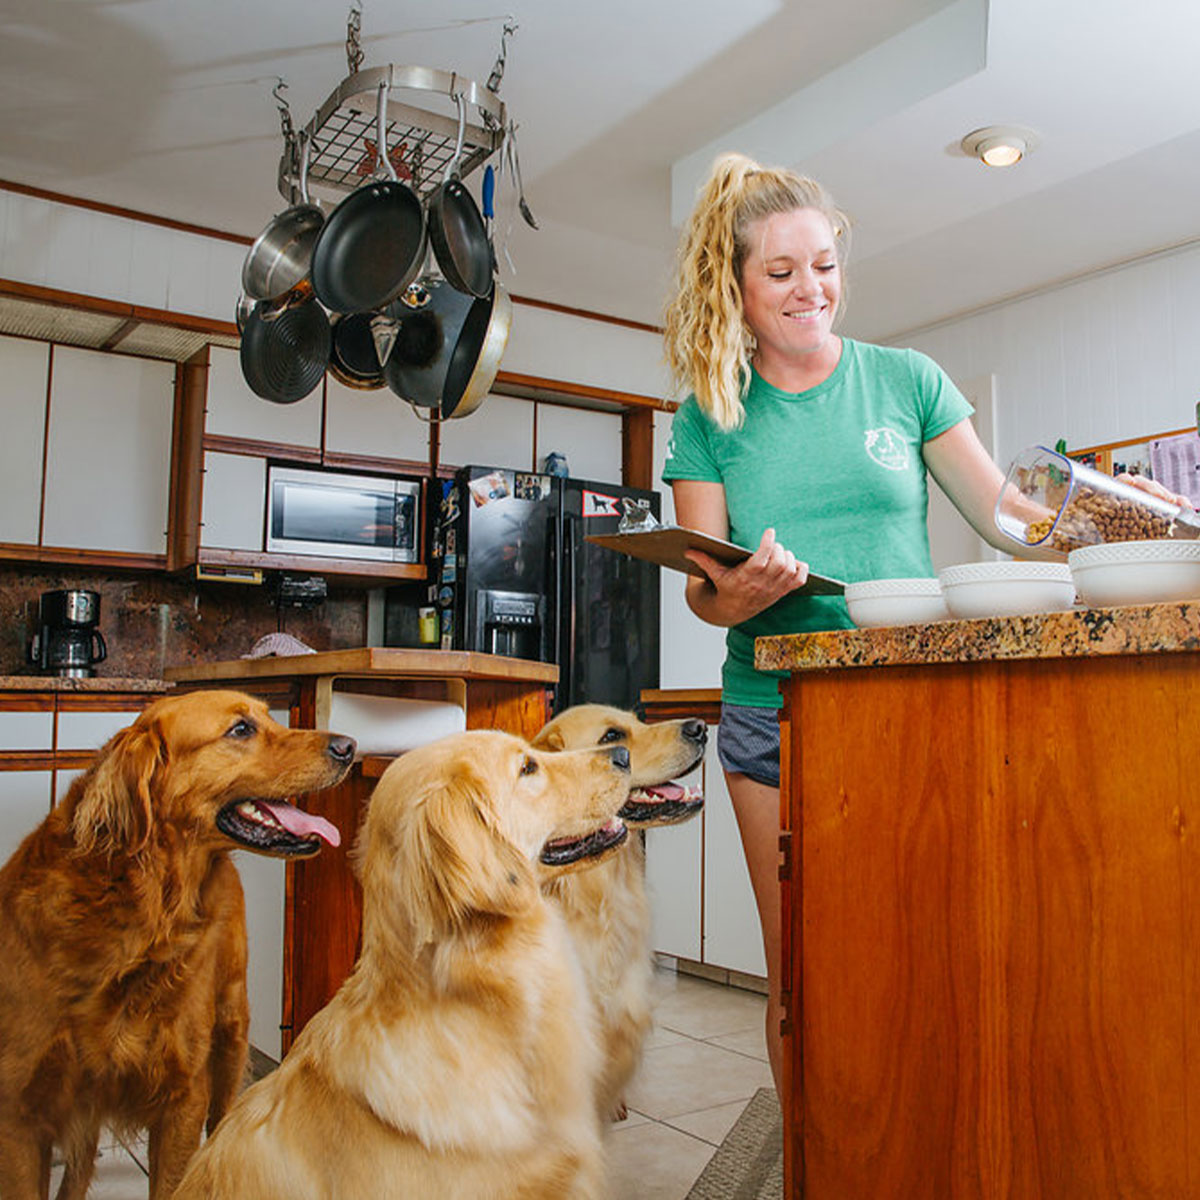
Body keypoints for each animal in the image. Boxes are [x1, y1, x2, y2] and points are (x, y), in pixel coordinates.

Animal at [0, 691, 355, 1200]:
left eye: (268, 716)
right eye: (241, 729)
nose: (350, 746)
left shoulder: (183, 1097)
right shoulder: (21, 1113)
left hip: (230, 1031)